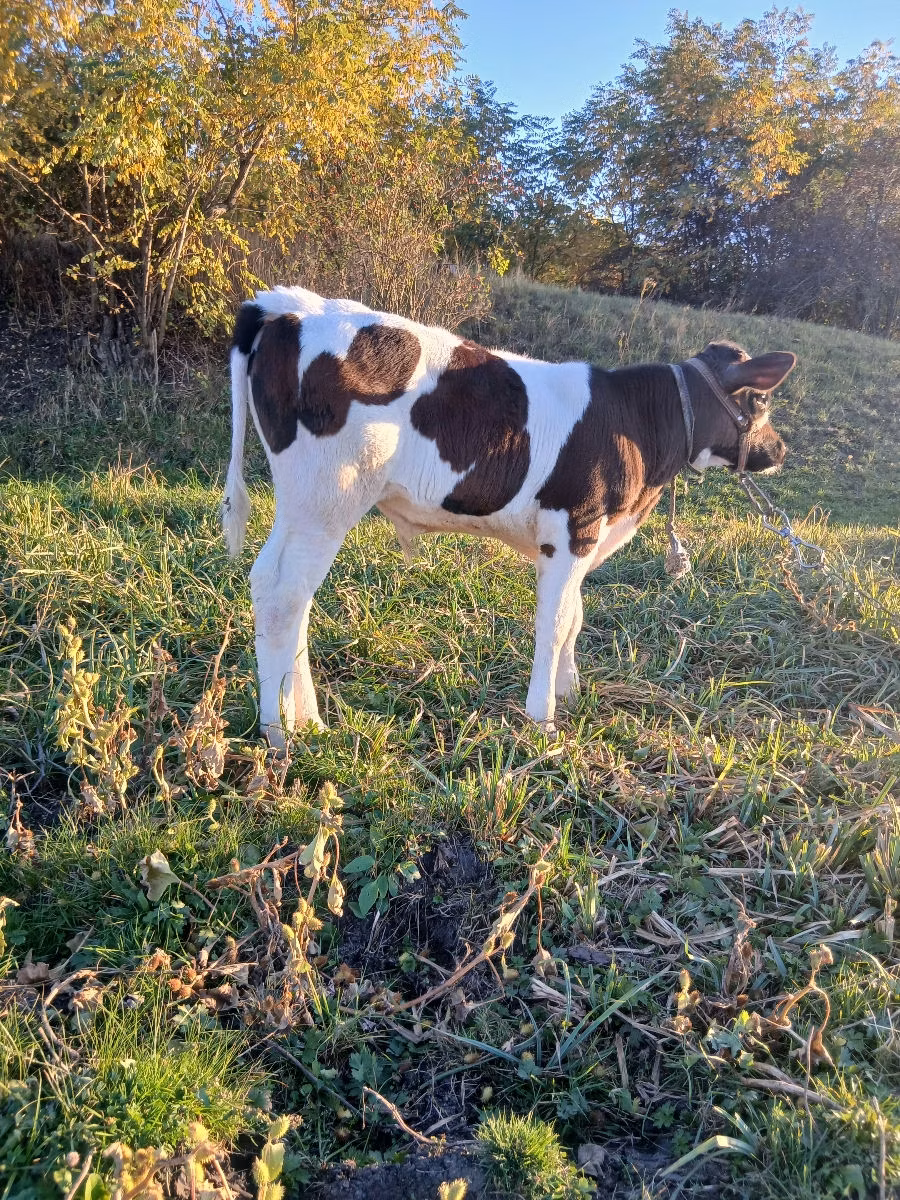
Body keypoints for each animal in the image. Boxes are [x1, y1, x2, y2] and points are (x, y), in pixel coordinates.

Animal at [222, 286, 795, 748]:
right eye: (762, 400)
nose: (779, 450)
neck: (635, 424)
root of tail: (286, 305)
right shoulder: (572, 529)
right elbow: (556, 622)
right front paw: (544, 719)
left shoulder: (583, 540)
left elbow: (575, 615)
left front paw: (569, 691)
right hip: (325, 496)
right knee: (282, 597)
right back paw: (283, 730)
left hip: (304, 504)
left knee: (285, 592)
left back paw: (305, 719)